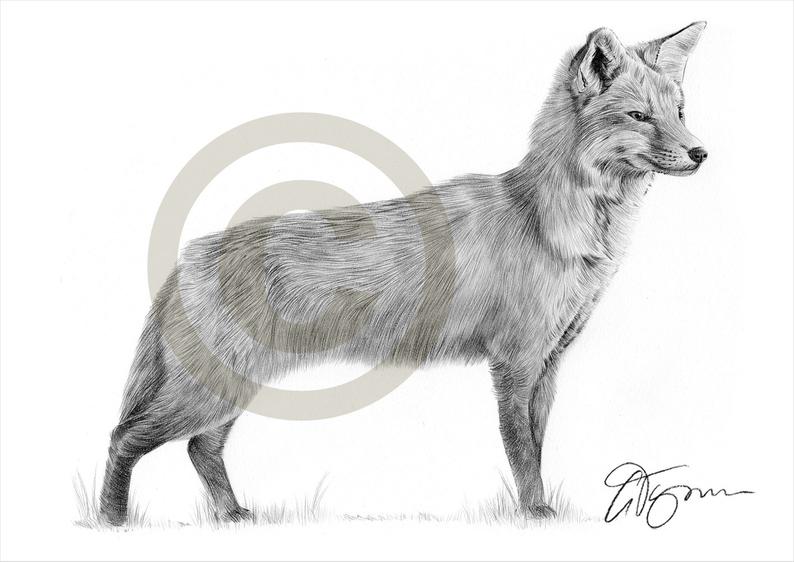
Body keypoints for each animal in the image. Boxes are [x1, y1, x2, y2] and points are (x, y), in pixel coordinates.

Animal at [100, 22, 708, 525]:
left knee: (200, 449)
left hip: (230, 389)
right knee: (122, 438)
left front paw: (539, 509)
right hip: (208, 390)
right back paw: (111, 521)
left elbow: (537, 447)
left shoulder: (549, 364)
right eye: (639, 116)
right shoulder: (514, 364)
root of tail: (188, 256)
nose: (701, 153)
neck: (555, 225)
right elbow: (522, 454)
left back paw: (230, 515)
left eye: (679, 112)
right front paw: (535, 514)